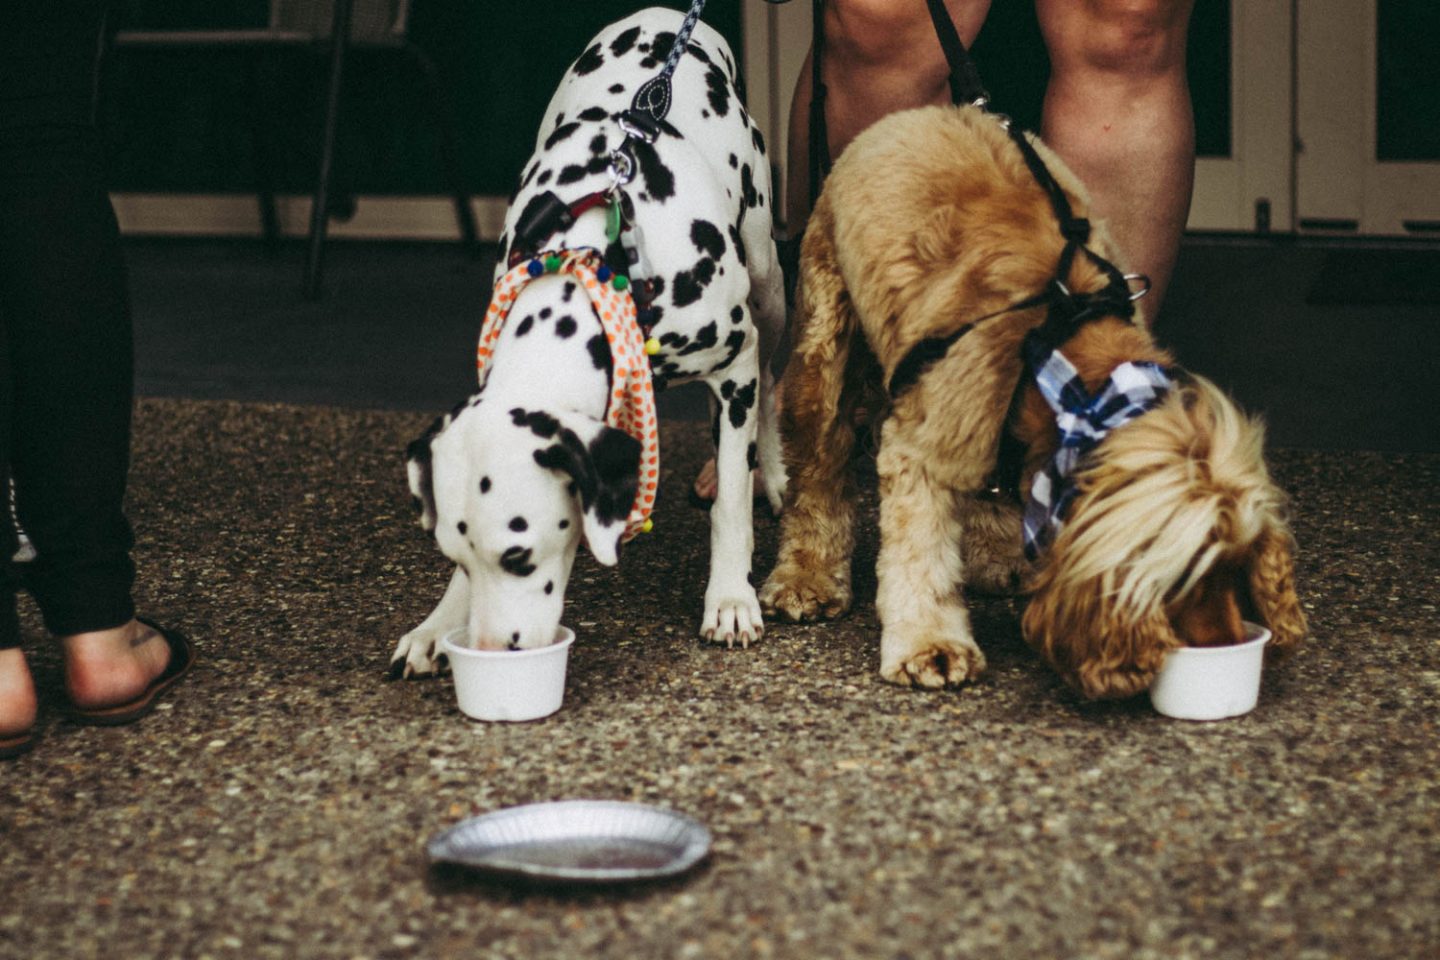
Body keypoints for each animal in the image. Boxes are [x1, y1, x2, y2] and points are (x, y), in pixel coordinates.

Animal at [391, 9, 789, 682]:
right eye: (457, 553)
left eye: (520, 556)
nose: (489, 651)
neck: (604, 264)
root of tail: (663, 19)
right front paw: (437, 625)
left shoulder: (734, 364)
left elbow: (733, 503)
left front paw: (731, 597)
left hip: (768, 287)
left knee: (769, 384)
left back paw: (775, 469)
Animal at [760, 105, 1313, 702]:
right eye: (1179, 578)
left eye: (1238, 566)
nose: (1229, 646)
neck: (1064, 346)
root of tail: (915, 114)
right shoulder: (922, 449)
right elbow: (919, 555)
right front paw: (931, 645)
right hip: (824, 347)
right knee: (818, 467)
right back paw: (806, 578)